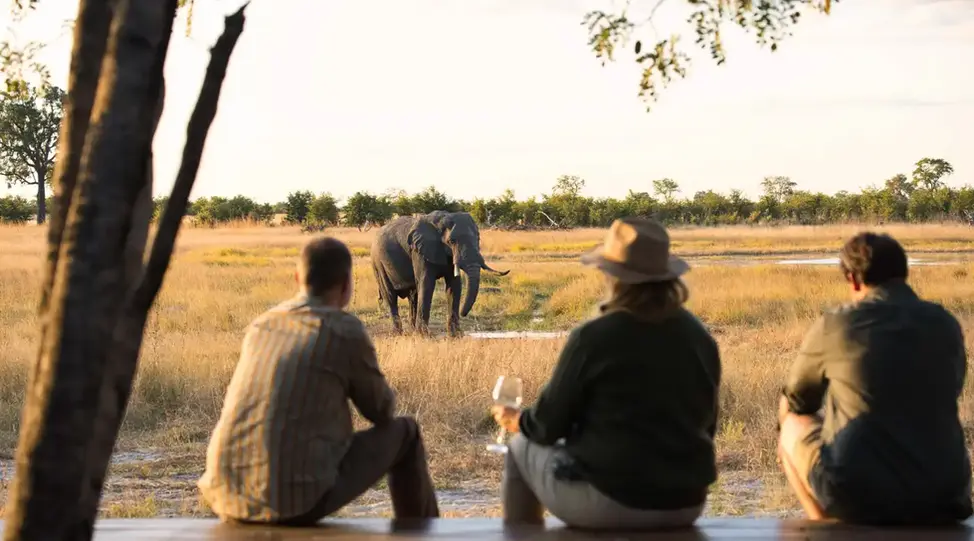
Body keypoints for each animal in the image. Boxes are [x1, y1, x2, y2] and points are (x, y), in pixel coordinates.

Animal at [370, 210, 510, 337]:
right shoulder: (419, 251)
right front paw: (424, 335)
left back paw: (412, 331)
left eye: (478, 238)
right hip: (378, 263)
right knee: (390, 296)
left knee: (413, 296)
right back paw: (398, 334)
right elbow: (426, 284)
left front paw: (455, 335)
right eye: (452, 241)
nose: (463, 313)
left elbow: (454, 286)